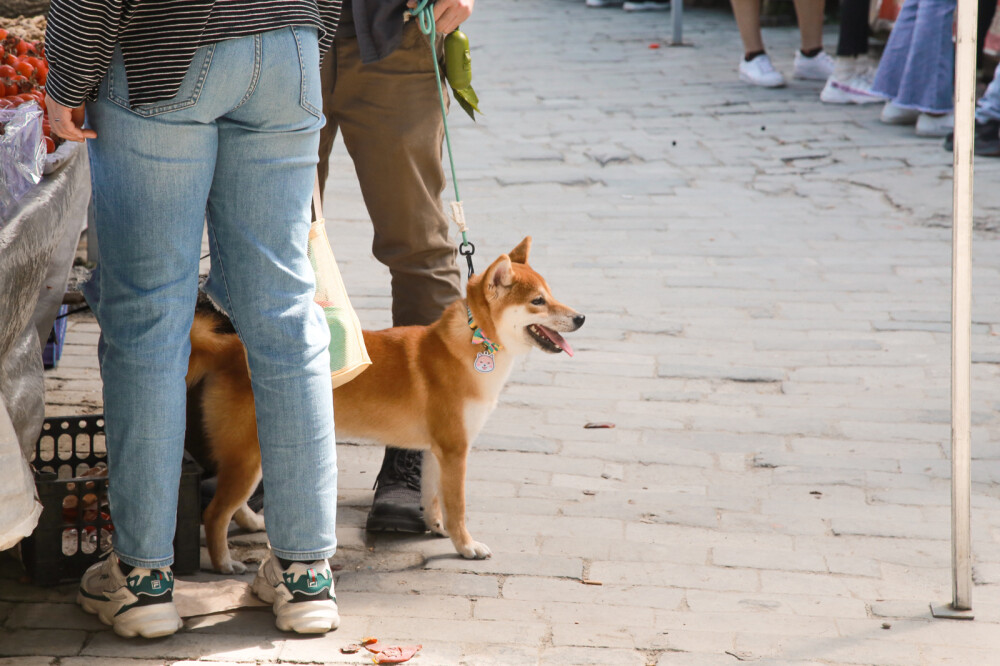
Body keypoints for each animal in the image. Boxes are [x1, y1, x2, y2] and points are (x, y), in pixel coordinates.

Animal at [186, 237, 584, 572]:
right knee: (213, 513)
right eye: (537, 301)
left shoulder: (438, 450)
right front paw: (466, 546)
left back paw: (253, 522)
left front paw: (437, 527)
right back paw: (224, 564)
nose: (581, 318)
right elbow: (457, 506)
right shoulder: (456, 449)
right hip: (248, 455)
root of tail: (230, 349)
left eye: (551, 294)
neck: (474, 342)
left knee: (230, 505)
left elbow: (434, 497)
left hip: (253, 454)